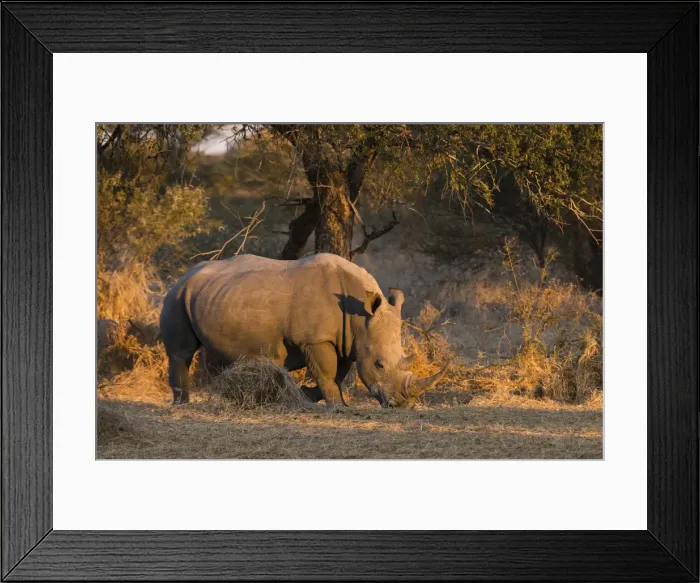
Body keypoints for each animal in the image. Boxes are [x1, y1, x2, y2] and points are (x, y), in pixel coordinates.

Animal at [159, 253, 448, 408]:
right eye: (379, 365)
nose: (403, 404)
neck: (359, 318)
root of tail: (184, 274)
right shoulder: (316, 339)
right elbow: (326, 372)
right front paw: (336, 406)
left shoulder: (345, 340)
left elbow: (337, 374)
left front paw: (312, 396)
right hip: (176, 297)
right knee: (181, 353)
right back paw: (181, 403)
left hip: (215, 296)